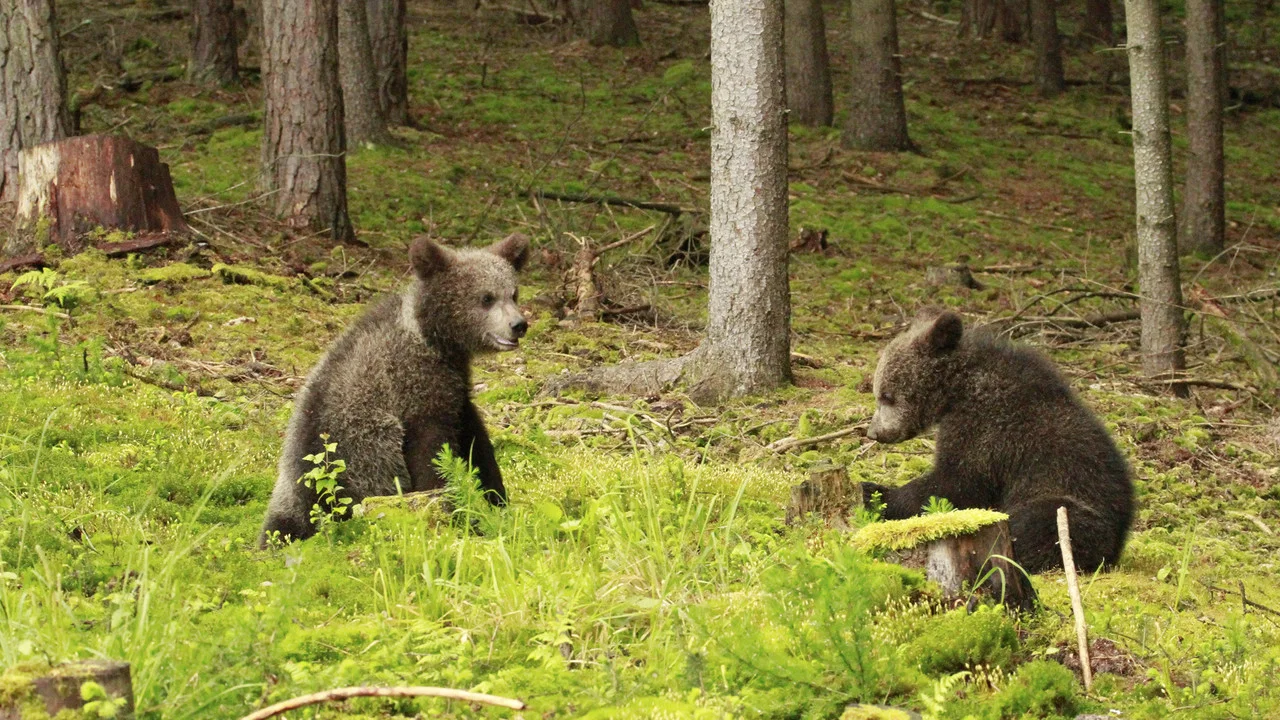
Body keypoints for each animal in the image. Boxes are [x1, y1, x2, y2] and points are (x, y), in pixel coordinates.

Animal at [260, 233, 530, 547]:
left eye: (513, 293)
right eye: (486, 298)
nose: (518, 325)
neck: (435, 340)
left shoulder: (454, 387)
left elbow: (476, 441)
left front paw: (497, 499)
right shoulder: (414, 390)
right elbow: (432, 455)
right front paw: (454, 510)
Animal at [859, 307, 1134, 574]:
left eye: (886, 395)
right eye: (879, 393)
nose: (874, 433)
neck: (958, 390)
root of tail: (1117, 547)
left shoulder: (988, 429)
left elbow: (957, 482)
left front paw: (877, 493)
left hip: (1072, 505)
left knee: (1038, 523)